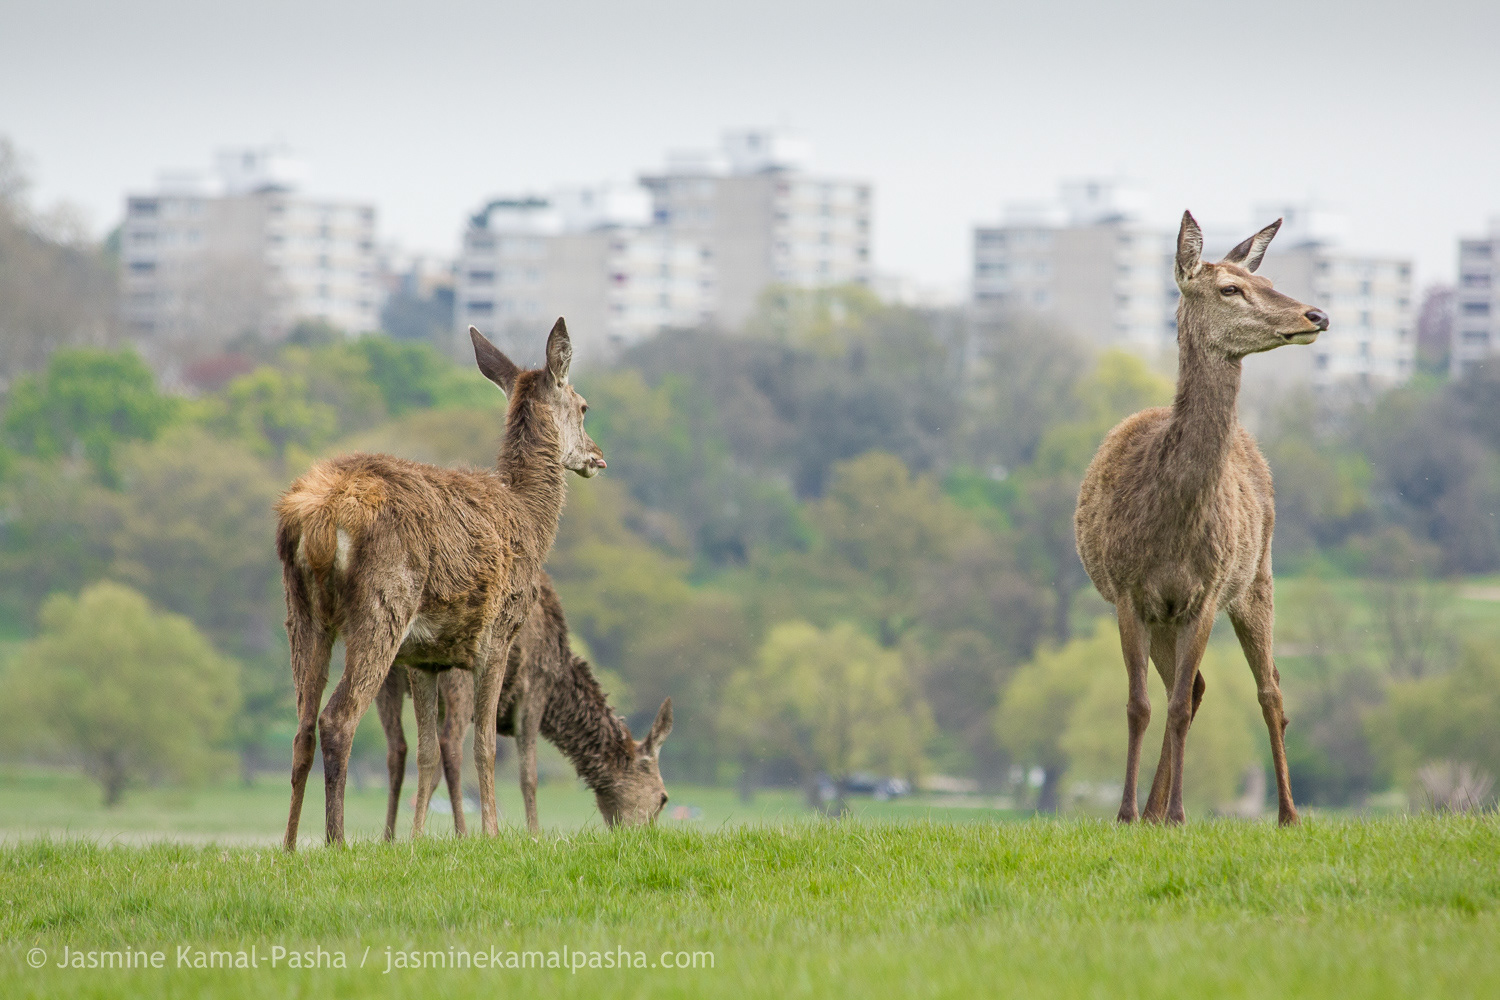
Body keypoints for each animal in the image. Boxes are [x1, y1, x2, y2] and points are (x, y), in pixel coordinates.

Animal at [274, 319, 604, 849]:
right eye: (584, 405)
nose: (596, 456)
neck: (532, 520)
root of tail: (318, 520)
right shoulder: (498, 635)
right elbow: (485, 745)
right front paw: (491, 834)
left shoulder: (424, 657)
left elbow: (431, 751)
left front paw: (416, 839)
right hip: (384, 604)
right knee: (337, 718)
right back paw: (335, 841)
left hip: (302, 609)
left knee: (303, 724)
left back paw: (287, 845)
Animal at [375, 572, 673, 835]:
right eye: (663, 798)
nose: (644, 835)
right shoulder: (534, 690)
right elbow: (529, 775)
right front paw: (534, 833)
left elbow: (431, 764)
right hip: (458, 676)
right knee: (451, 746)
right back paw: (462, 833)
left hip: (391, 673)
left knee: (397, 748)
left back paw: (389, 836)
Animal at [1074, 212, 1327, 827]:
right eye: (1230, 288)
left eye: (1265, 279)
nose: (1317, 315)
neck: (1170, 524)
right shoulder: (1129, 591)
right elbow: (1140, 704)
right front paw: (1127, 814)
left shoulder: (1207, 592)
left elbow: (1175, 707)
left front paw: (1179, 814)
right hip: (1172, 613)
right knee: (1194, 689)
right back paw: (1151, 811)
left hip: (1257, 577)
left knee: (1269, 687)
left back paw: (1288, 814)